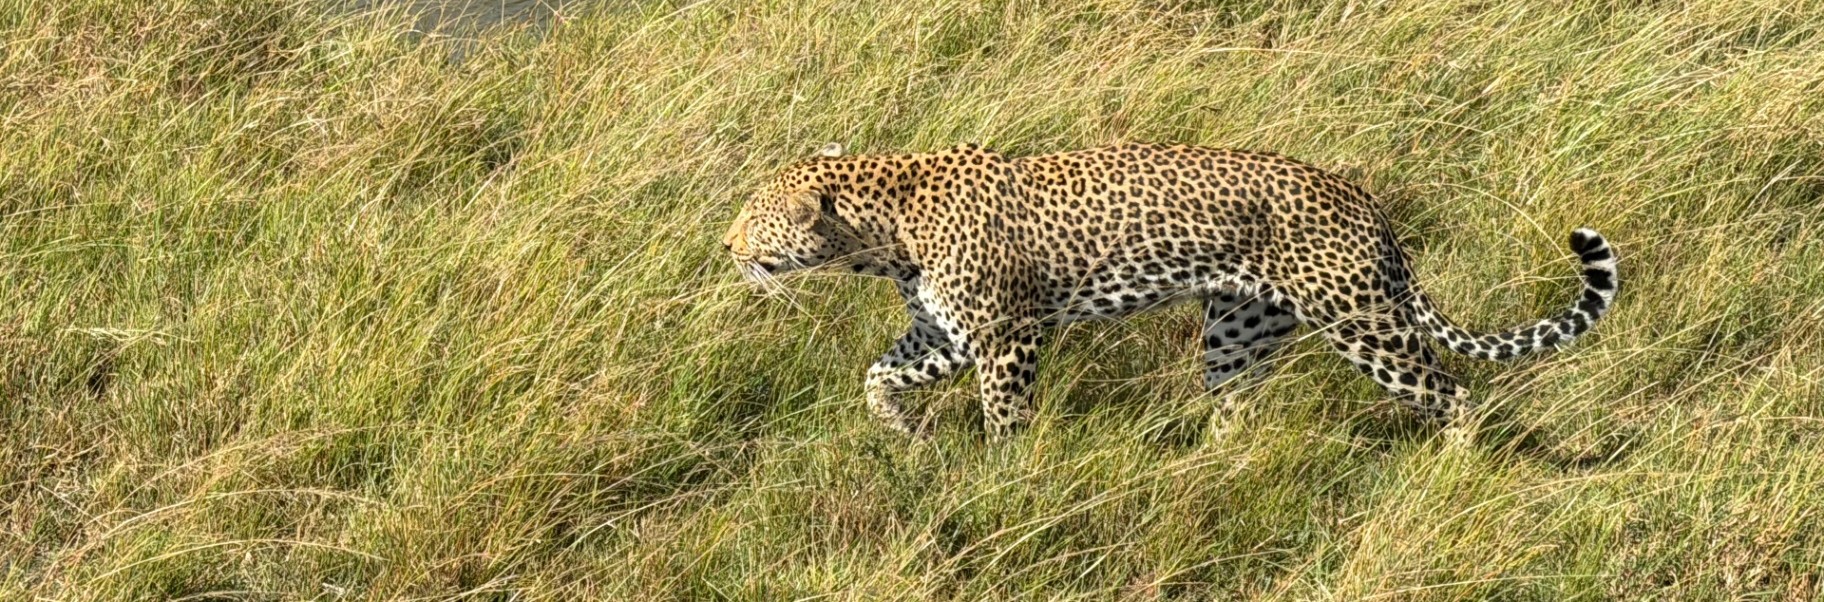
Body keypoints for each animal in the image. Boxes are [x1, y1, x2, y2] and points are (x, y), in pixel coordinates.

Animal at [721, 141, 1619, 439]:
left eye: (754, 218)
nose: (726, 247)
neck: (883, 236)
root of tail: (1367, 203)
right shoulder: (944, 334)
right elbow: (876, 374)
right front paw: (903, 431)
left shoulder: (1006, 337)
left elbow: (1003, 415)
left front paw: (1001, 475)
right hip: (1239, 330)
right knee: (1235, 410)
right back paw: (1213, 469)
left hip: (1363, 325)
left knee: (1453, 392)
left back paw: (1452, 469)